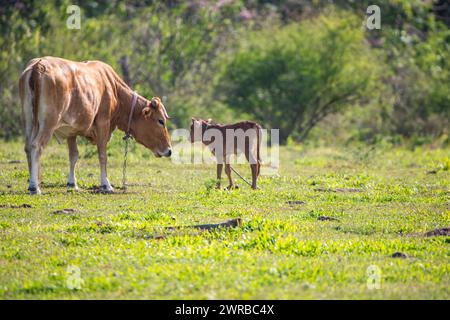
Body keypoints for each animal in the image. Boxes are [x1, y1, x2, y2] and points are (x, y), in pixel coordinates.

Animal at [18, 56, 172, 194]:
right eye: (160, 121)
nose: (169, 150)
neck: (114, 89)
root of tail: (39, 65)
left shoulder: (71, 130)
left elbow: (73, 155)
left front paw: (72, 184)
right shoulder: (103, 124)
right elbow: (102, 155)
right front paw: (106, 184)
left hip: (29, 120)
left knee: (27, 147)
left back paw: (33, 181)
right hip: (48, 123)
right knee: (36, 145)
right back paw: (34, 186)